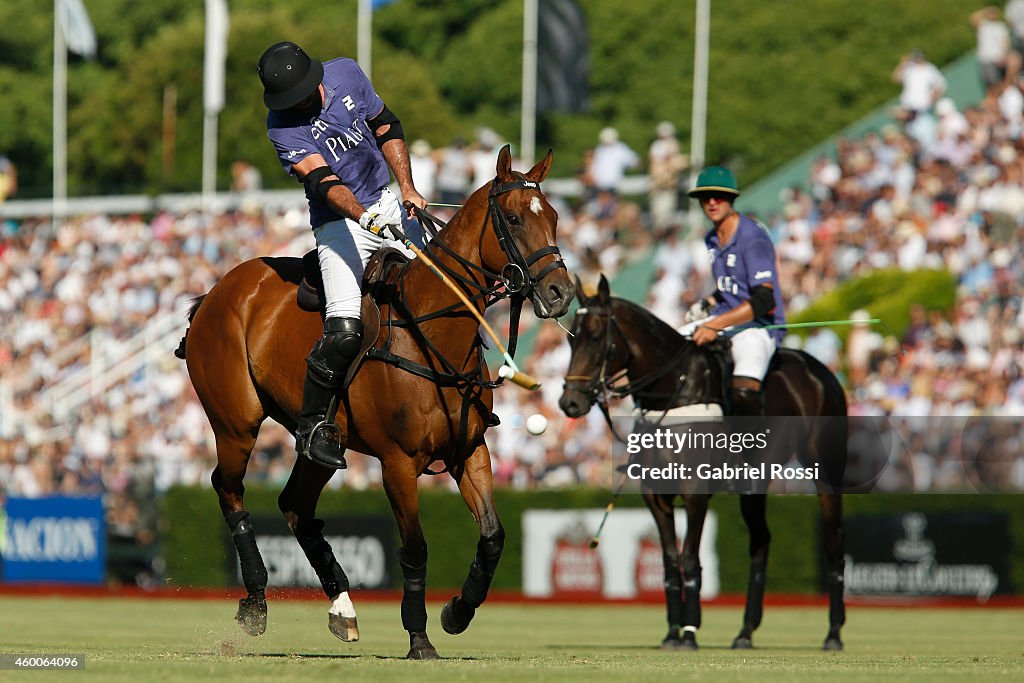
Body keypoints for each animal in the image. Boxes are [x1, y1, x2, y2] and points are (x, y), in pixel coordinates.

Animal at [180, 145, 573, 663]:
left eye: (553, 216)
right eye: (512, 218)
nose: (561, 293)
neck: (430, 331)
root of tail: (216, 290)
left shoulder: (469, 452)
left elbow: (493, 536)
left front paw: (457, 612)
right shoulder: (398, 463)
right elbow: (415, 547)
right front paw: (419, 638)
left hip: (320, 444)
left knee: (295, 504)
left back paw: (342, 608)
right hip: (235, 422)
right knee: (228, 489)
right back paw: (256, 602)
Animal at [561, 276, 847, 651]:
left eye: (596, 336)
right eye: (571, 338)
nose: (570, 402)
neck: (673, 388)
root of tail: (822, 371)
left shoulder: (694, 491)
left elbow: (689, 557)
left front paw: (690, 631)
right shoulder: (655, 495)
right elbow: (669, 561)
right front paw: (671, 632)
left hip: (826, 474)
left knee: (833, 542)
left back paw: (833, 632)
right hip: (754, 489)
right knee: (761, 541)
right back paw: (745, 632)